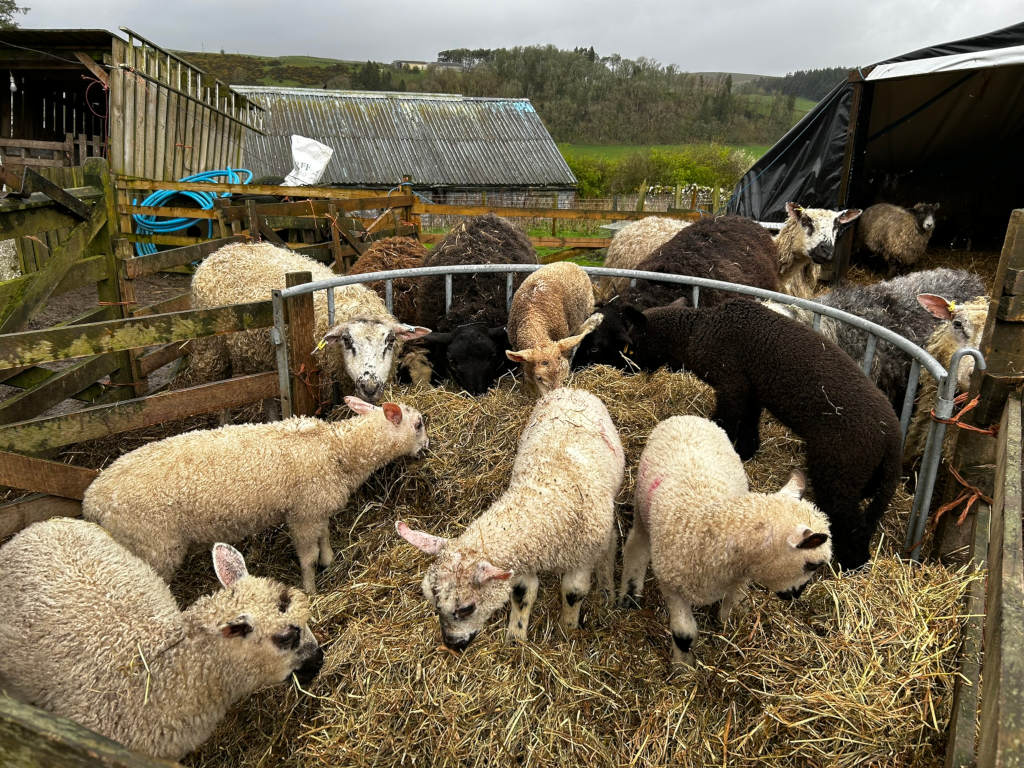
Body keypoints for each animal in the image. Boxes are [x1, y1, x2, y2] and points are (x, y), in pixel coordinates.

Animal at [82, 396, 429, 593]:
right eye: (419, 424)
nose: (427, 448)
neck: (338, 450)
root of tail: (91, 501)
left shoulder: (315, 507)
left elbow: (325, 536)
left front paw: (330, 560)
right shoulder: (302, 514)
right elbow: (307, 557)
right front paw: (311, 589)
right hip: (152, 545)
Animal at [396, 387, 624, 650]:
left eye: (466, 608)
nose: (452, 644)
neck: (548, 498)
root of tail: (570, 389)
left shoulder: (581, 560)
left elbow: (572, 593)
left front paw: (568, 629)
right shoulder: (522, 559)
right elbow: (523, 594)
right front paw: (516, 638)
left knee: (610, 545)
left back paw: (607, 587)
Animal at [619, 416, 832, 666]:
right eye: (812, 564)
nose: (796, 595)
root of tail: (686, 417)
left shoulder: (738, 579)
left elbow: (729, 610)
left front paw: (727, 632)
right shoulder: (672, 585)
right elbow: (684, 633)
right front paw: (683, 666)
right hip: (642, 511)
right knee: (637, 545)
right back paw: (629, 593)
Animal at [629, 298, 902, 570]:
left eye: (632, 345)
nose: (630, 370)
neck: (695, 331)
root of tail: (892, 437)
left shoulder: (732, 383)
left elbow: (726, 420)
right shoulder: (751, 390)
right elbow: (749, 425)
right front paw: (745, 452)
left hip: (839, 470)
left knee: (849, 521)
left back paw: (849, 565)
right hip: (865, 476)